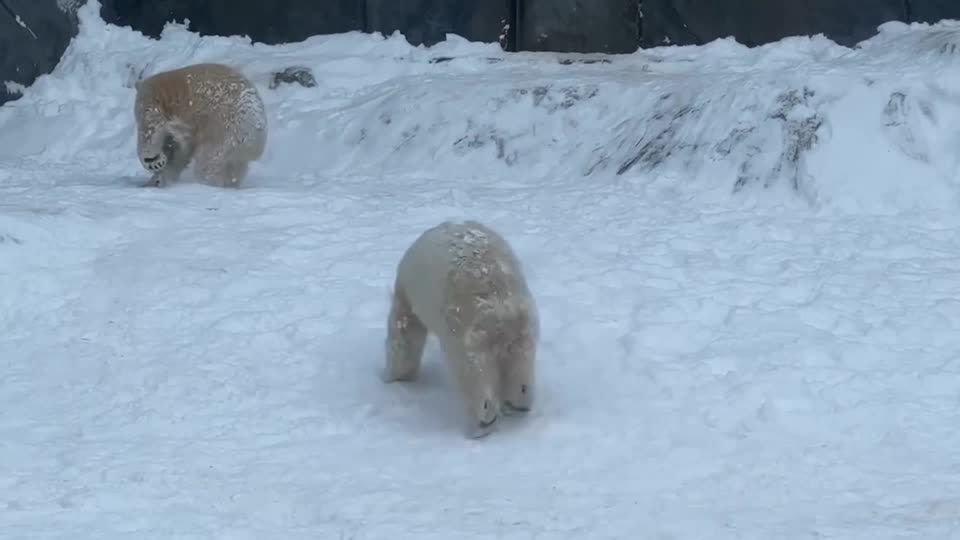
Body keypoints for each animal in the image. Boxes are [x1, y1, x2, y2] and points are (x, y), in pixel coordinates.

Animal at [384, 220, 539, 439]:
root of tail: (497, 304)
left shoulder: (407, 293)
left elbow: (404, 335)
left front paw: (395, 378)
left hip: (465, 331)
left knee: (471, 370)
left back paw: (481, 422)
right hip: (521, 326)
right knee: (520, 362)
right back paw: (517, 403)